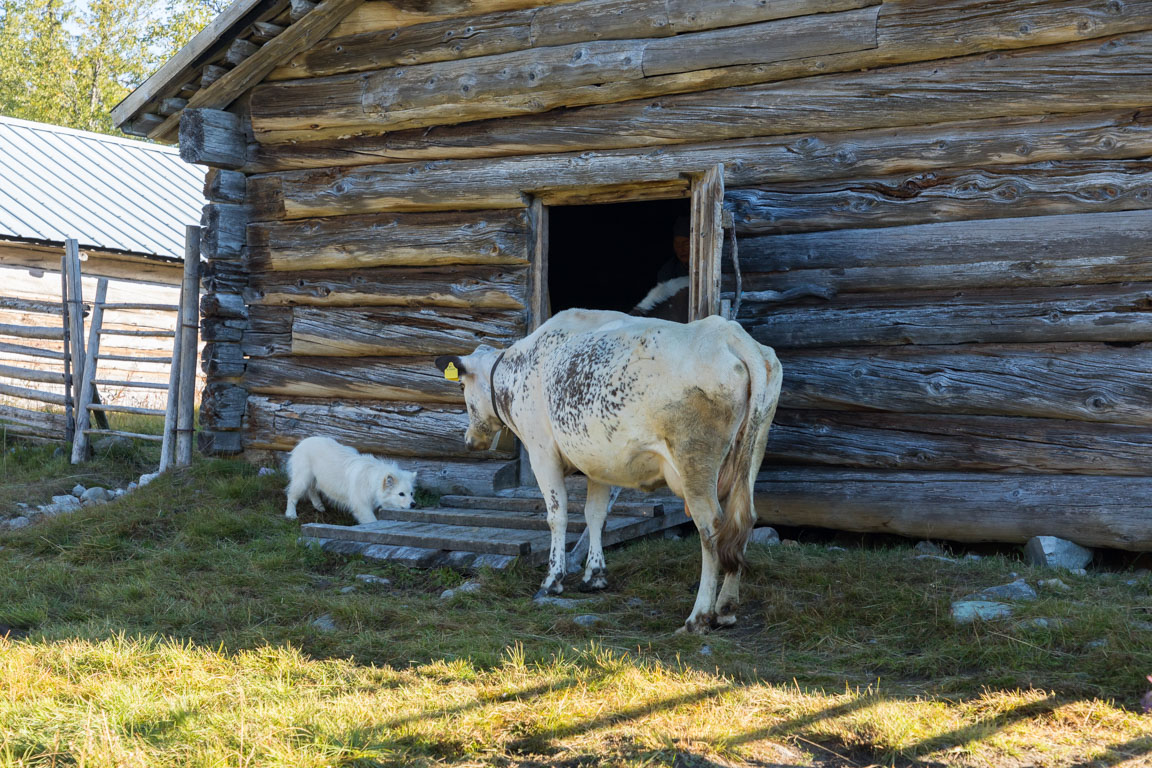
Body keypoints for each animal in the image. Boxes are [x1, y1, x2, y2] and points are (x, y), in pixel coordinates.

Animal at [284, 435, 419, 525]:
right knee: (292, 494)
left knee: (312, 489)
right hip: (303, 476)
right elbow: (371, 520)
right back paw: (291, 514)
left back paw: (319, 506)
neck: (372, 480)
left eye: (412, 493)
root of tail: (303, 441)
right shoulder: (362, 505)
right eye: (401, 494)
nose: (414, 504)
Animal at [433, 308, 783, 635]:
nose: (470, 441)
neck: (518, 369)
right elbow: (595, 515)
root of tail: (728, 333)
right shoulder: (598, 462)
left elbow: (558, 515)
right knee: (743, 521)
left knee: (711, 528)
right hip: (752, 453)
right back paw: (726, 610)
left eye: (461, 386)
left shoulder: (541, 451)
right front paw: (595, 574)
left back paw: (698, 617)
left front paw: (553, 579)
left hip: (694, 462)